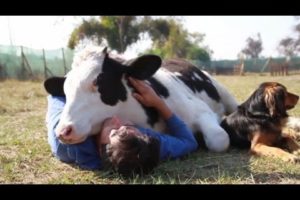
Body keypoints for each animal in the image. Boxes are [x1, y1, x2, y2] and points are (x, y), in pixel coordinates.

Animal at [43, 46, 238, 152]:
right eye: (65, 90)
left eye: (98, 81)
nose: (63, 131)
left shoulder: (200, 111)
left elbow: (219, 138)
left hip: (225, 93)